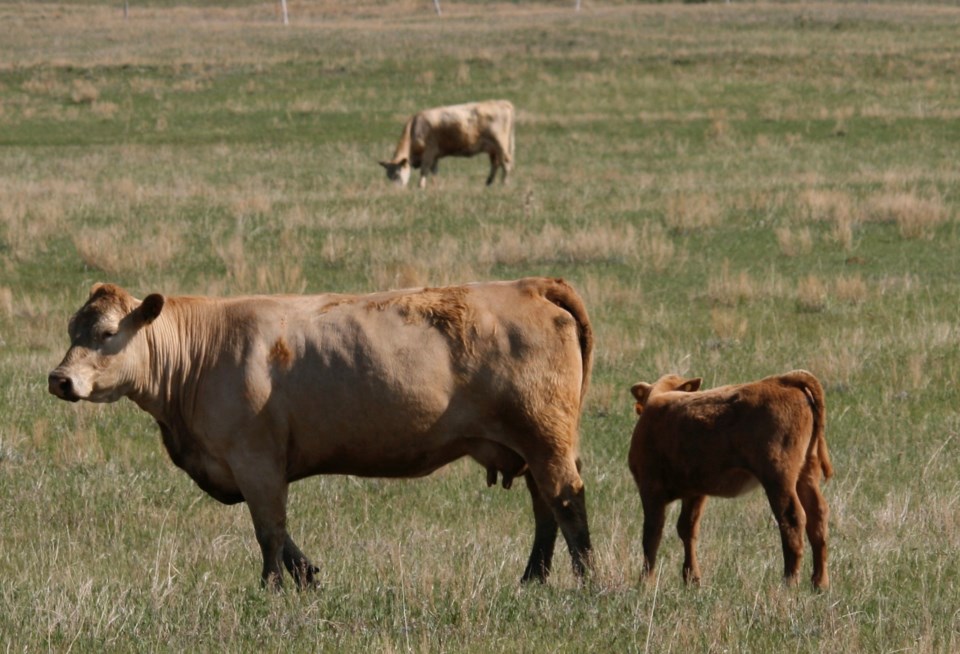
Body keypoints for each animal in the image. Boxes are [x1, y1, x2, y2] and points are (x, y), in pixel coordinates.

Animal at [52, 276, 596, 588]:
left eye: (106, 334)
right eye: (71, 331)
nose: (60, 379)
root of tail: (531, 284)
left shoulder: (255, 460)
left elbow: (269, 531)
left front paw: (271, 590)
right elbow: (282, 535)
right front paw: (309, 577)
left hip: (544, 436)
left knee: (566, 500)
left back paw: (586, 580)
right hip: (532, 443)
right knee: (544, 507)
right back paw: (533, 579)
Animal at [378, 100, 512, 188]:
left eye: (397, 174)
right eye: (388, 176)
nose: (395, 190)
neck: (414, 129)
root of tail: (502, 102)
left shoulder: (429, 152)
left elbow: (424, 170)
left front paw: (420, 186)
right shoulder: (435, 155)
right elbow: (434, 171)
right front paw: (434, 186)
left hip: (501, 144)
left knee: (505, 163)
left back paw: (504, 184)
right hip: (493, 149)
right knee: (495, 164)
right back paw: (488, 183)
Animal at [632, 372, 832, 592]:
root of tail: (782, 379)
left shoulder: (650, 488)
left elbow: (652, 534)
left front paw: (645, 582)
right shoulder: (696, 491)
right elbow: (687, 529)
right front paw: (692, 579)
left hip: (779, 477)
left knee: (792, 519)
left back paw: (789, 582)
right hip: (806, 473)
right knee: (817, 517)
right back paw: (819, 583)